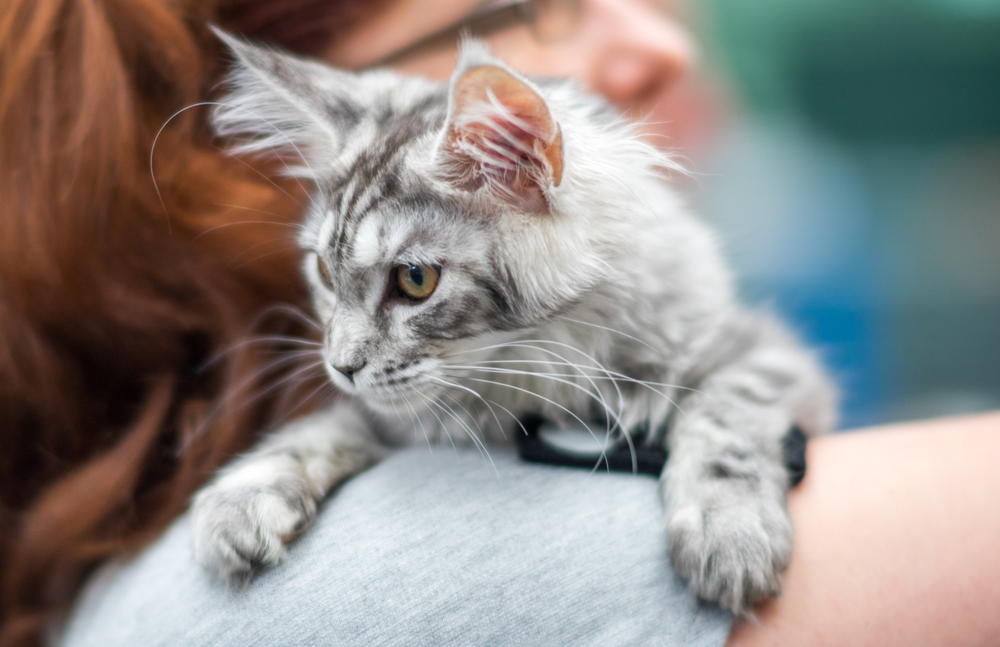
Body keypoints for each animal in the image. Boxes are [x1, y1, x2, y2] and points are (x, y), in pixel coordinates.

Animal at [189, 31, 836, 616]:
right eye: (324, 271)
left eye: (415, 280)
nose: (340, 366)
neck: (533, 366)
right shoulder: (392, 418)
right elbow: (321, 429)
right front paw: (244, 494)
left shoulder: (765, 353)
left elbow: (723, 418)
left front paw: (727, 530)